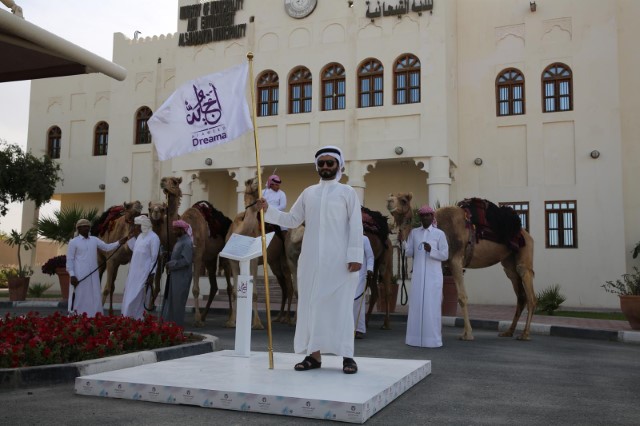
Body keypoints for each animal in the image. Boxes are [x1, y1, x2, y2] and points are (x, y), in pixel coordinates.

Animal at [160, 176, 232, 326]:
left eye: (175, 182)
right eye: (165, 179)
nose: (162, 181)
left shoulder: (198, 255)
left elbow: (195, 289)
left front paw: (197, 319)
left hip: (224, 254)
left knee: (229, 286)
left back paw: (230, 320)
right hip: (210, 258)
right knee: (214, 286)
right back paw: (205, 316)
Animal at [388, 195, 536, 342]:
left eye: (403, 200)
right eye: (392, 196)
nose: (389, 201)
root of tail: (526, 234)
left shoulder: (456, 261)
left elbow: (462, 297)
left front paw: (467, 334)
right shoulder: (443, 263)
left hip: (524, 254)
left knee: (530, 293)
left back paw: (525, 334)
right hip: (508, 262)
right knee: (520, 294)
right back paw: (509, 332)